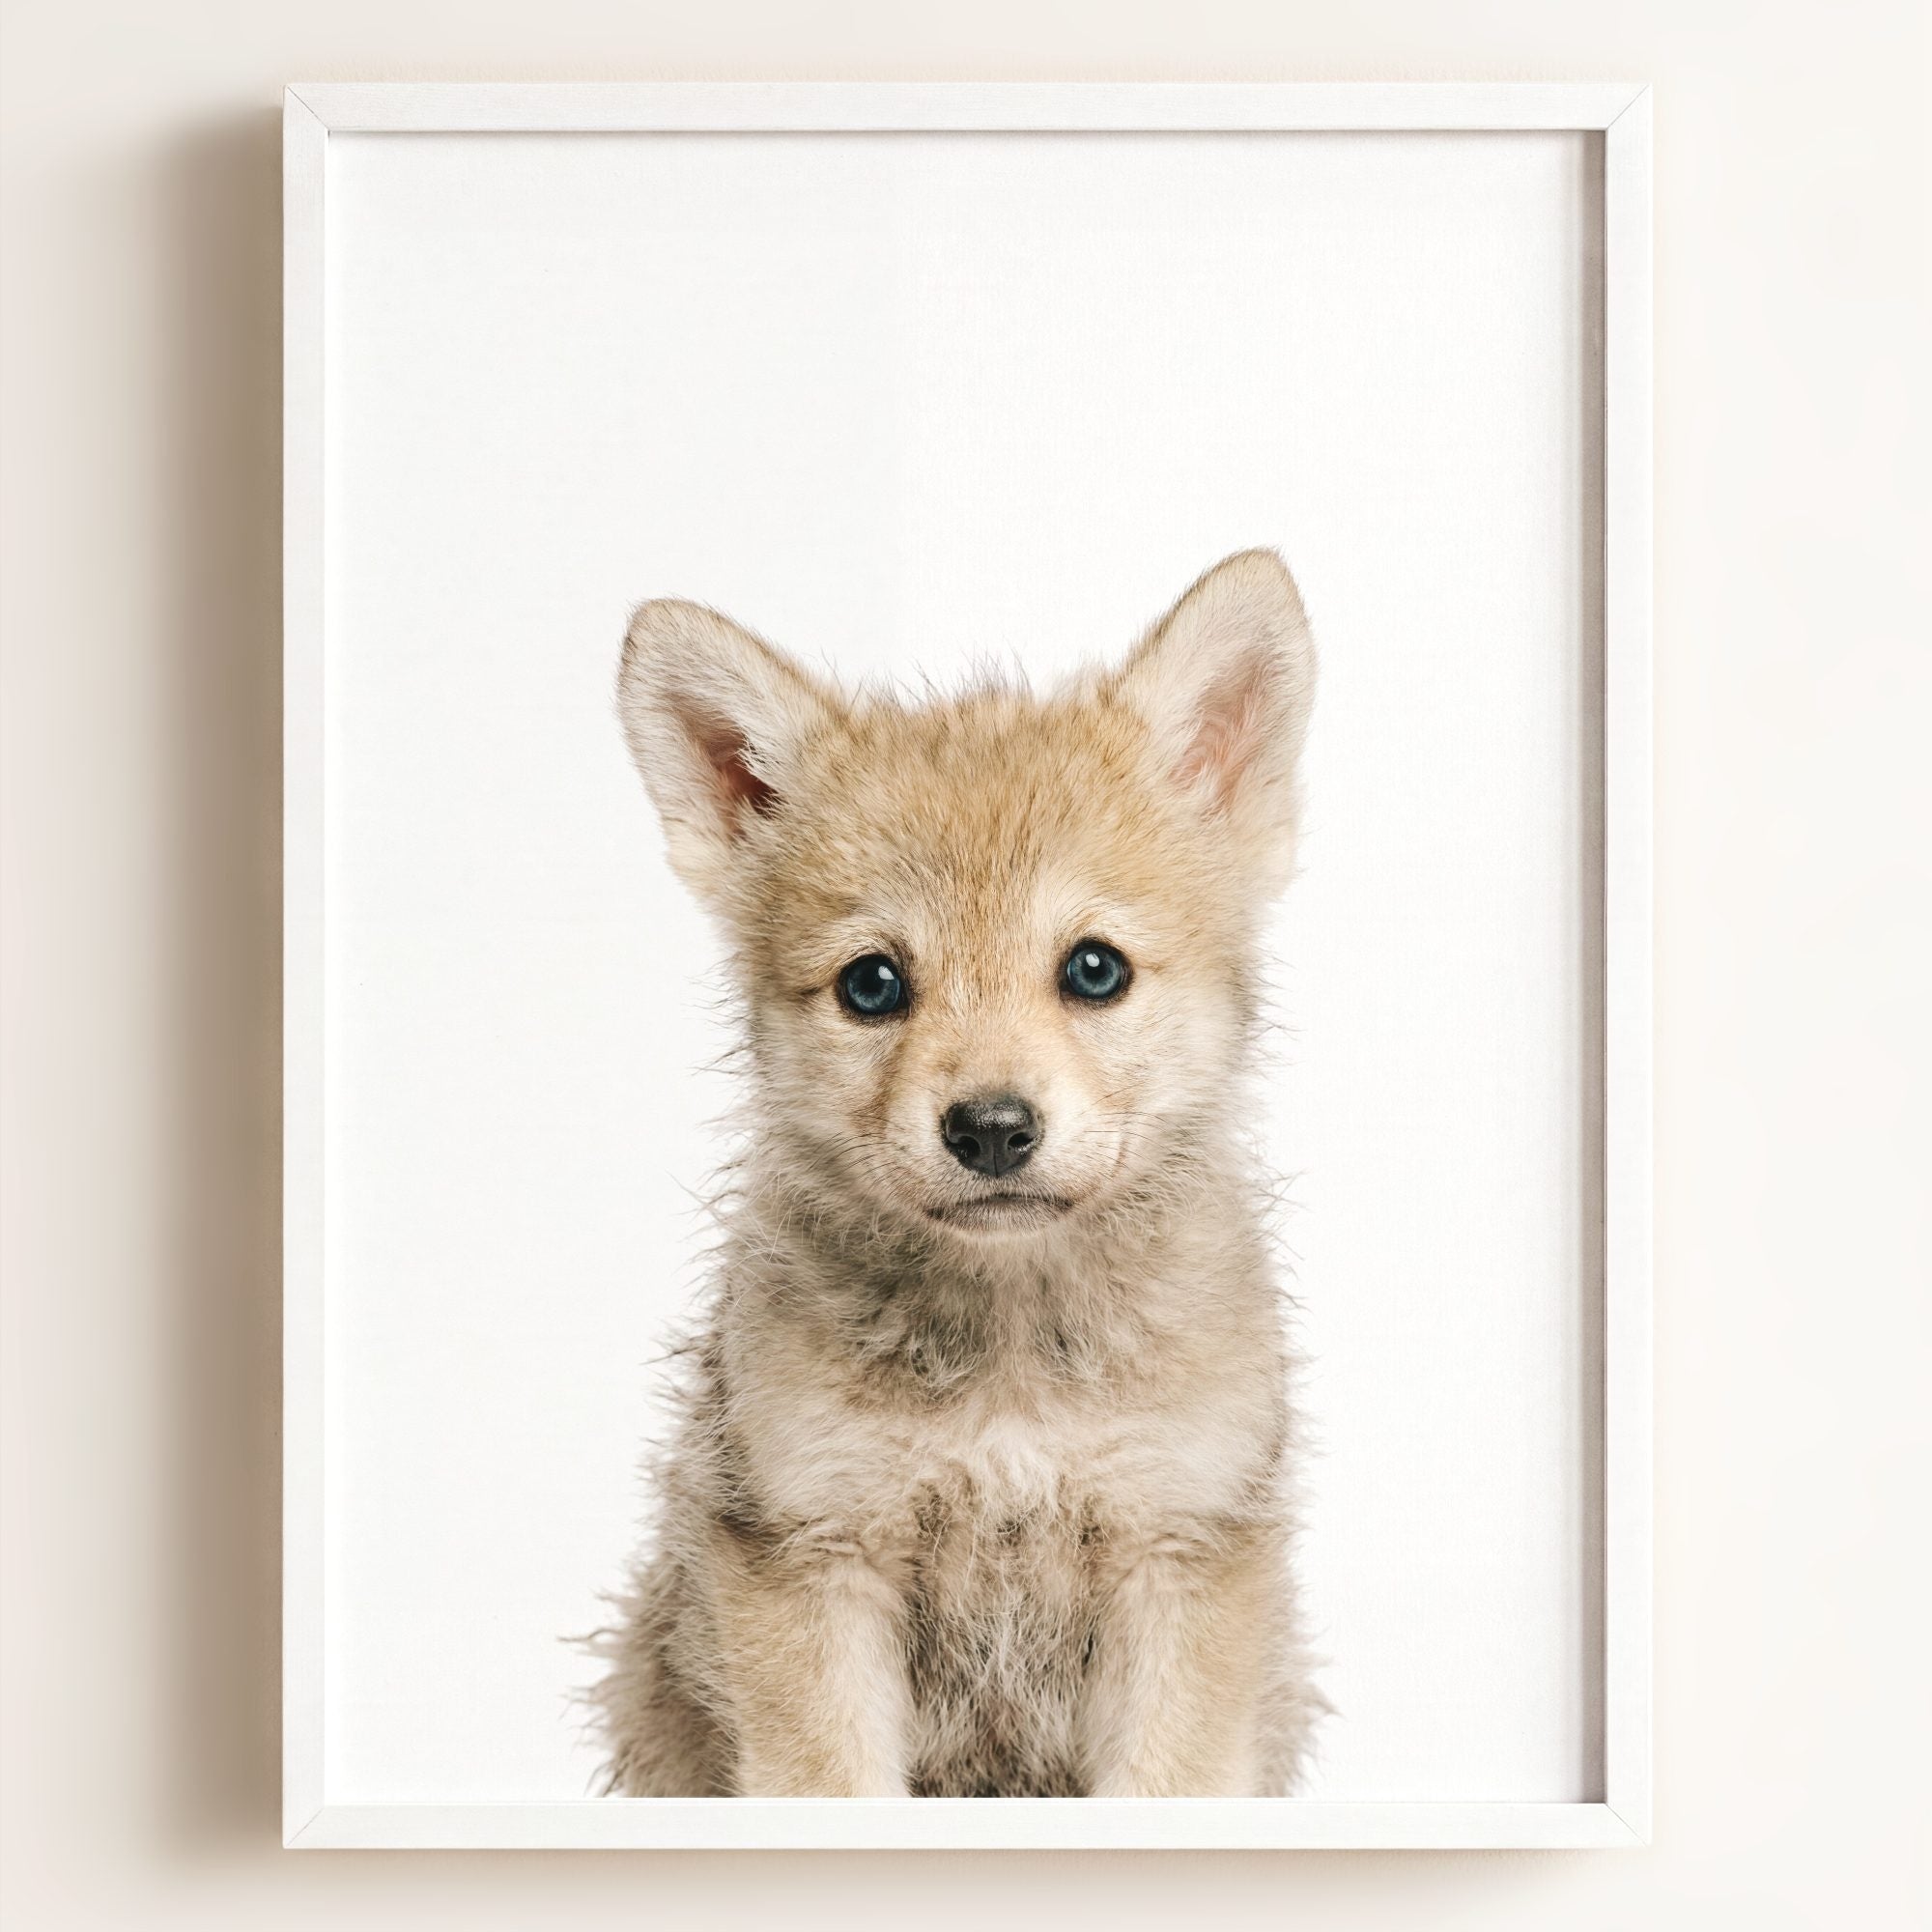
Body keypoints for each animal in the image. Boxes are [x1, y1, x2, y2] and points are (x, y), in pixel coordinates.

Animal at [591, 550, 1322, 1798]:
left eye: (1093, 968)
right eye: (871, 983)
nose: (988, 1128)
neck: (1011, 1366)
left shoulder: (1177, 1548)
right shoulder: (814, 1552)